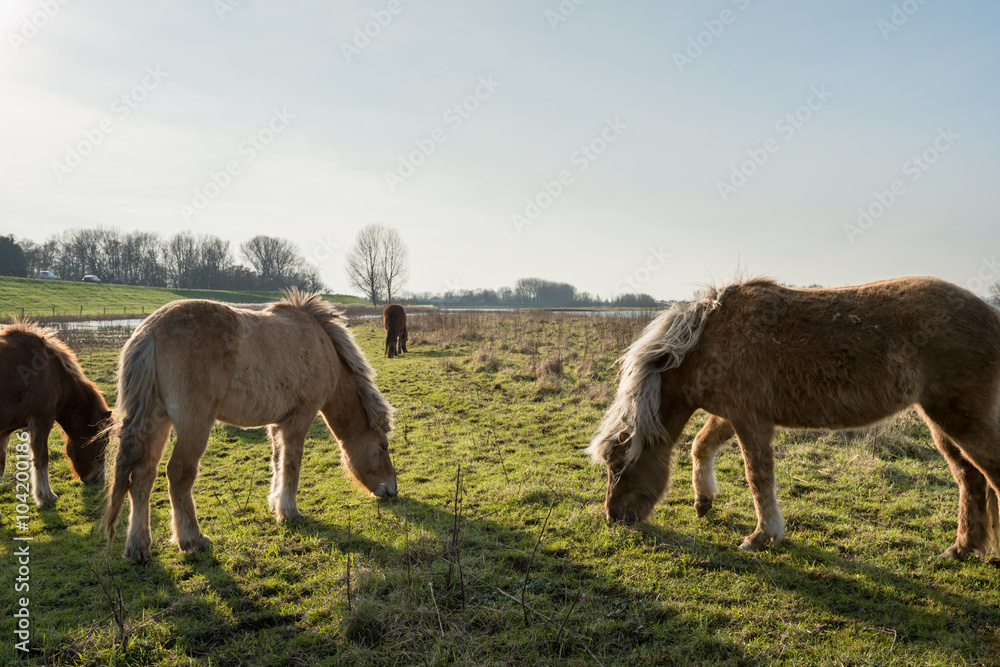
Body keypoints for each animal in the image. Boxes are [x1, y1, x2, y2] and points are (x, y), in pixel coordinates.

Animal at [0, 320, 111, 504]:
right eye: (103, 441)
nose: (98, 477)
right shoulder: (42, 420)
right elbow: (42, 457)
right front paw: (45, 496)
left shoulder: (5, 431)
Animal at [103, 290, 397, 564]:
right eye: (383, 446)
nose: (392, 491)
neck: (321, 346)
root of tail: (149, 331)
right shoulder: (300, 418)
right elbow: (292, 463)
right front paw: (290, 511)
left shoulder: (278, 423)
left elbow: (278, 461)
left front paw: (275, 503)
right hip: (193, 424)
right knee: (178, 473)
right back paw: (192, 538)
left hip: (156, 420)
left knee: (143, 476)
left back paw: (139, 547)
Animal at [589, 276, 1000, 559]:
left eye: (618, 464)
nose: (615, 518)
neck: (708, 340)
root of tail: (991, 316)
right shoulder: (730, 416)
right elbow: (700, 447)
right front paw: (703, 501)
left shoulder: (750, 421)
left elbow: (758, 478)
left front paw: (762, 536)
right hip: (942, 425)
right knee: (971, 481)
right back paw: (962, 549)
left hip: (959, 420)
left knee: (989, 476)